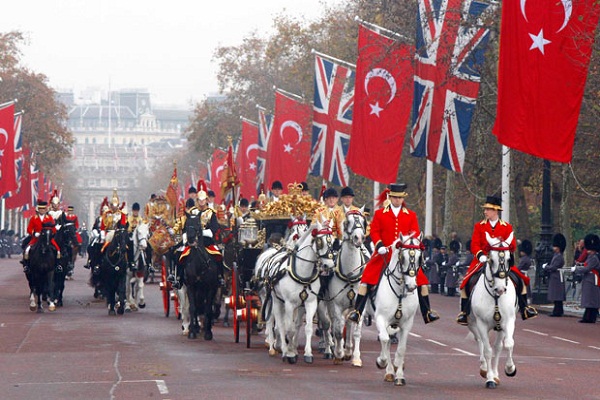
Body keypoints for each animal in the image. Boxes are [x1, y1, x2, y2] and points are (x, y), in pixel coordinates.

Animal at [270, 220, 336, 364]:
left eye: (333, 241)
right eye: (319, 241)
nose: (329, 266)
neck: (302, 272)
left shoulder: (311, 302)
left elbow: (308, 327)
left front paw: (308, 353)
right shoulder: (289, 304)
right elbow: (289, 329)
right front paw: (290, 354)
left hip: (301, 305)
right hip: (277, 301)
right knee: (280, 325)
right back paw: (283, 349)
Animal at [322, 209, 368, 366]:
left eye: (364, 221)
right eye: (348, 222)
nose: (358, 238)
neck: (350, 274)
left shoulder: (360, 305)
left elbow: (356, 331)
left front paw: (356, 357)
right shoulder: (335, 305)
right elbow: (337, 329)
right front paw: (339, 353)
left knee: (348, 323)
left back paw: (348, 349)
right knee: (330, 324)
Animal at [372, 233, 420, 386]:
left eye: (419, 257)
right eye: (402, 257)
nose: (411, 286)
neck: (399, 291)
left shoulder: (407, 324)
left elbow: (401, 349)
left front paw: (399, 373)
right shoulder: (381, 318)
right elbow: (384, 339)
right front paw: (381, 362)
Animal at [466, 231, 516, 388]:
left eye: (509, 259)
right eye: (491, 260)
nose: (500, 289)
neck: (495, 297)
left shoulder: (508, 321)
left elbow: (508, 344)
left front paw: (510, 369)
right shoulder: (481, 323)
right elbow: (487, 350)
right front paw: (489, 379)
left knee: (497, 347)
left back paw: (495, 374)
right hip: (473, 324)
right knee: (480, 342)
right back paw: (484, 369)